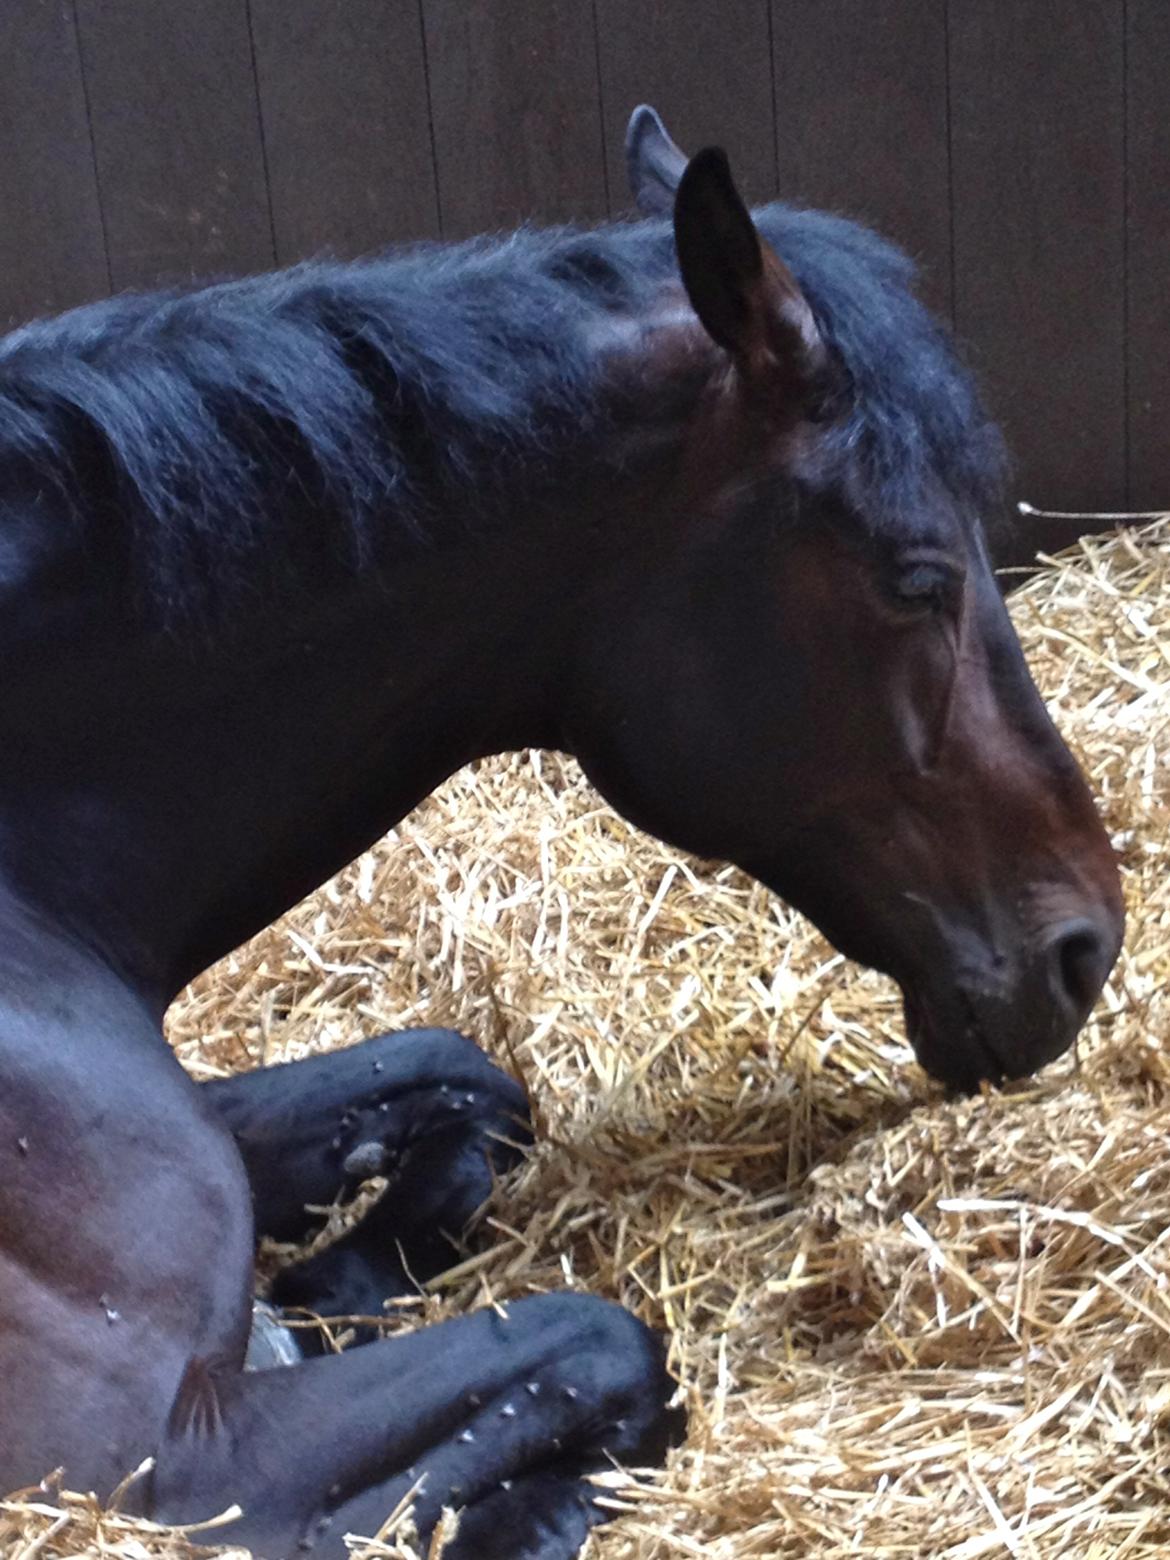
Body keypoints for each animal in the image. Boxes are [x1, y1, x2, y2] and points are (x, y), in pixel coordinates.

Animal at [0, 103, 1123, 1553]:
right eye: (916, 574)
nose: (1085, 946)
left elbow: (468, 1081)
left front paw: (329, 1286)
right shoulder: (158, 1462)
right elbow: (605, 1347)